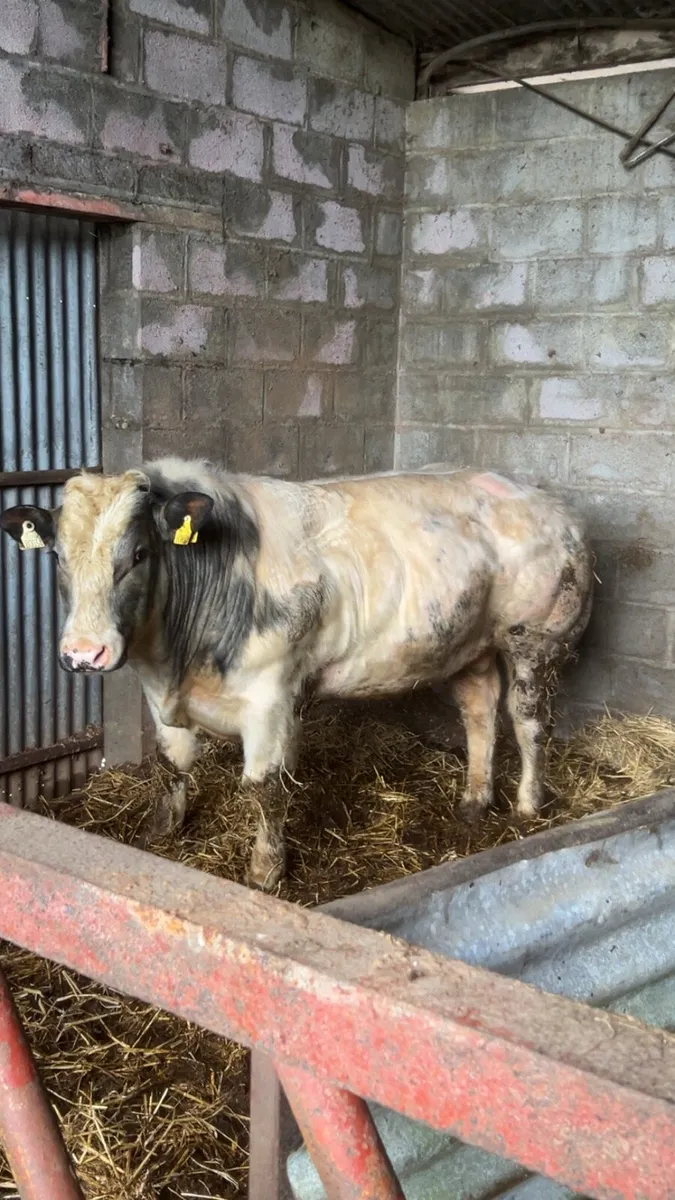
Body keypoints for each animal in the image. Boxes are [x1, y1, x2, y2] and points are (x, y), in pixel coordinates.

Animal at [1, 459, 593, 890]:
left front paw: (265, 872)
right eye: (58, 558)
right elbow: (172, 765)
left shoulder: (271, 697)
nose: (84, 653)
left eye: (141, 553)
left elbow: (265, 787)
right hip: (469, 642)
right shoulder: (160, 698)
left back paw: (527, 805)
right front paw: (162, 829)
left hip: (536, 640)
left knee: (528, 722)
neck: (175, 662)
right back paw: (473, 801)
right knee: (479, 713)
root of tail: (548, 502)